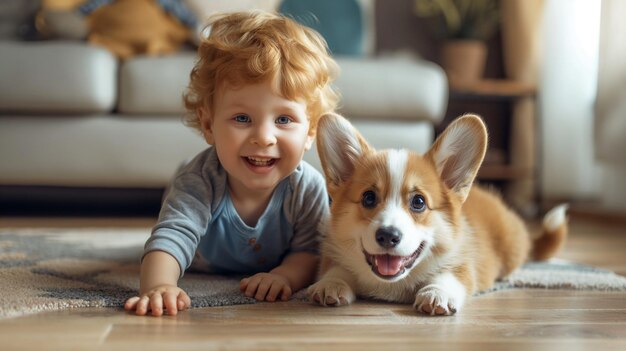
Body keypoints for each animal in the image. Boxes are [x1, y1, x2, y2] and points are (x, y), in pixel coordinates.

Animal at [308, 115, 564, 316]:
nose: (388, 236)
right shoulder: (334, 254)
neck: (391, 284)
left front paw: (436, 294)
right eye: (368, 198)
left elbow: (447, 277)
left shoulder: (461, 265)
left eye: (418, 202)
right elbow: (335, 269)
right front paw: (330, 284)